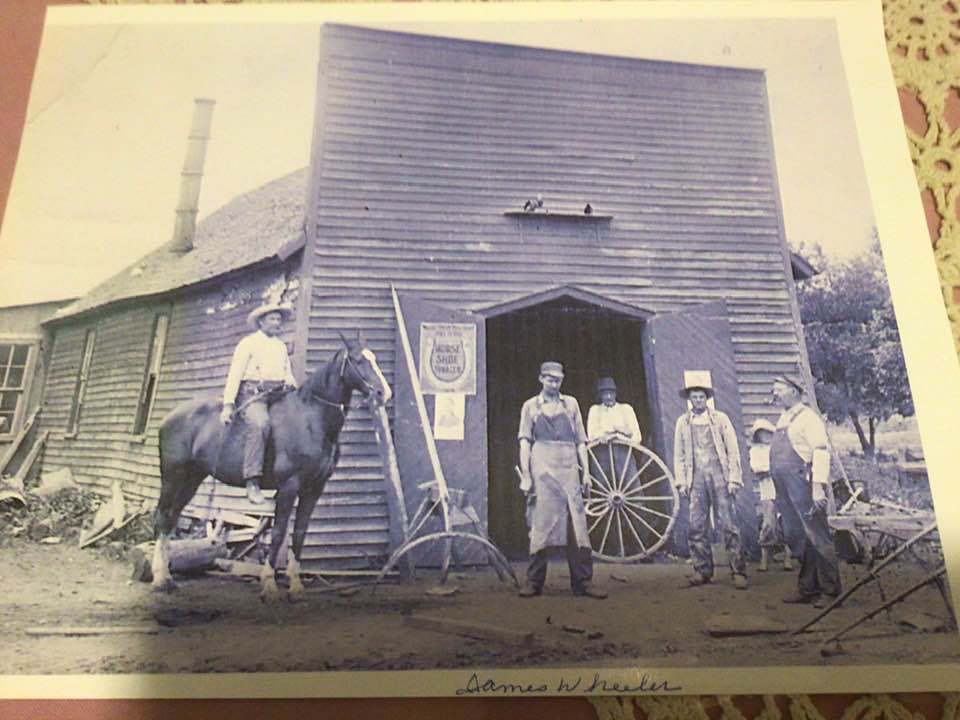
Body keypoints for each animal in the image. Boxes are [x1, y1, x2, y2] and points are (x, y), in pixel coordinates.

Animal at [152, 334, 392, 601]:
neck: (311, 418)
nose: (383, 393)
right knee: (162, 518)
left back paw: (168, 578)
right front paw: (269, 584)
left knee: (171, 519)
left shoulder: (314, 489)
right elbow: (277, 534)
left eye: (374, 358)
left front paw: (296, 586)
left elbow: (299, 534)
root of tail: (170, 417)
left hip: (191, 479)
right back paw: (160, 579)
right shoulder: (289, 486)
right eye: (358, 360)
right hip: (172, 477)